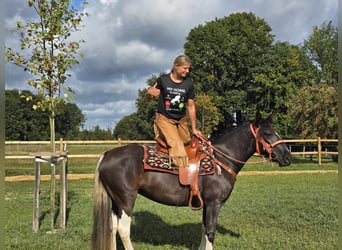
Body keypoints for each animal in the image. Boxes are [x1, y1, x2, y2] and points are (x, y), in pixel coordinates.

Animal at [90, 112, 292, 249]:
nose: (288, 157)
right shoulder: (214, 203)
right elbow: (210, 232)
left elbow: (204, 230)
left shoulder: (207, 204)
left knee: (112, 228)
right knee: (123, 230)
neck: (221, 159)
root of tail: (108, 154)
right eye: (267, 133)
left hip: (116, 201)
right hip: (126, 200)